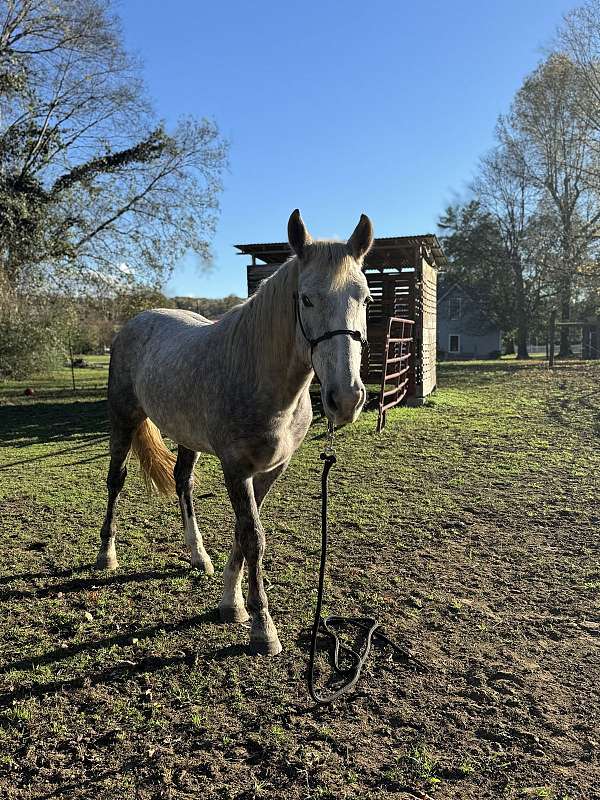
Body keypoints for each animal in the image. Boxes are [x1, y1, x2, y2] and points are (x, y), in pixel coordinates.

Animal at [96, 209, 372, 652]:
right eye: (306, 298)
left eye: (365, 298)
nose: (346, 399)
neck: (261, 376)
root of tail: (134, 322)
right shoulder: (235, 468)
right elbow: (253, 537)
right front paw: (263, 628)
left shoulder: (271, 469)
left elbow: (245, 534)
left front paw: (231, 604)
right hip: (123, 419)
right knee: (115, 480)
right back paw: (106, 555)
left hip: (187, 436)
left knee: (183, 481)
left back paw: (198, 556)